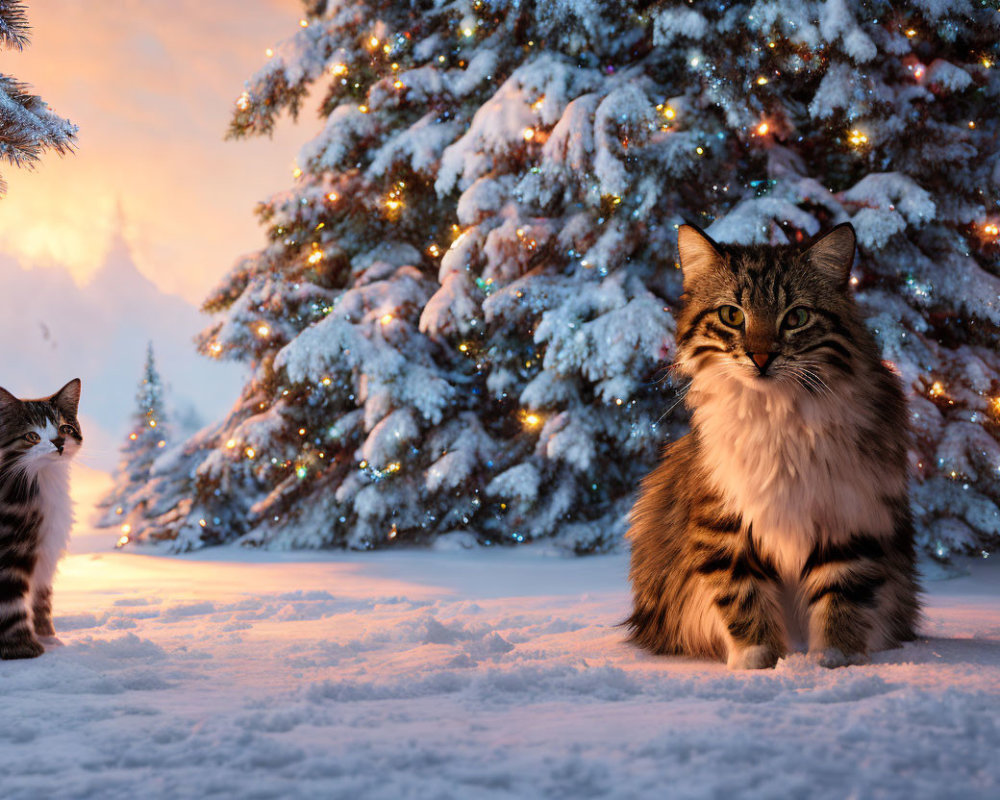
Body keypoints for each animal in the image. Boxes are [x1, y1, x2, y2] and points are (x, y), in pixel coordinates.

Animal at [0, 380, 82, 656]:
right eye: (32, 436)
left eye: (65, 428)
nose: (59, 442)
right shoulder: (12, 549)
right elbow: (11, 603)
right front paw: (25, 650)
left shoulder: (46, 549)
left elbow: (41, 599)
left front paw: (49, 637)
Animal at [628, 225, 916, 668]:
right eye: (732, 315)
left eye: (796, 317)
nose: (760, 357)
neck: (776, 412)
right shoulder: (722, 520)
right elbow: (743, 598)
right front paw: (759, 661)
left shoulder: (850, 513)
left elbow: (841, 599)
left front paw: (835, 659)